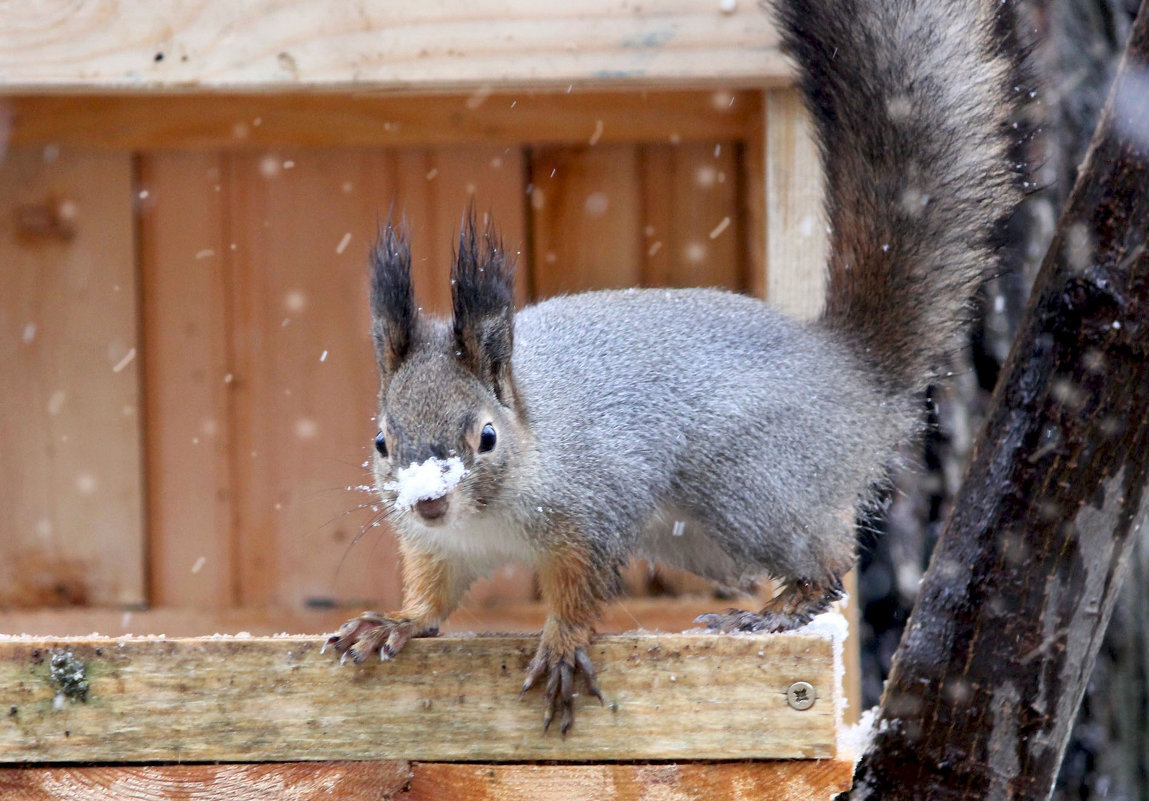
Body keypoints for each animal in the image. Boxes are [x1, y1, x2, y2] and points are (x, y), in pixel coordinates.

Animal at [326, 0, 1024, 735]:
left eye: (486, 436)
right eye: (382, 440)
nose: (428, 500)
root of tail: (855, 376)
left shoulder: (593, 508)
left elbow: (582, 586)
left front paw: (563, 643)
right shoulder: (440, 547)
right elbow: (433, 595)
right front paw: (396, 622)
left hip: (749, 489)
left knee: (827, 560)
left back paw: (768, 614)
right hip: (701, 538)